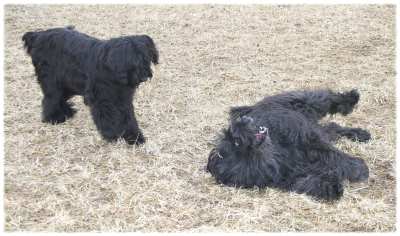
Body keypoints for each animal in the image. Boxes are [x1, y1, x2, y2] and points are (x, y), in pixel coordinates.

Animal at [22, 25, 158, 144]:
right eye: (133, 63)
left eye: (146, 59)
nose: (144, 76)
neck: (111, 69)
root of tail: (38, 35)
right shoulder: (102, 100)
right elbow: (109, 118)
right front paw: (112, 135)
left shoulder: (122, 99)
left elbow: (128, 117)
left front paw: (134, 137)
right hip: (53, 82)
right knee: (51, 98)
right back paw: (54, 117)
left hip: (67, 84)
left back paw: (66, 112)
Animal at [208, 88, 370, 201]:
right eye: (236, 143)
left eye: (231, 135)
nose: (241, 120)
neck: (276, 155)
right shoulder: (289, 177)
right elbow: (308, 181)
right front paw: (331, 186)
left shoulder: (305, 136)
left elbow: (331, 154)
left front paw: (358, 167)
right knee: (332, 127)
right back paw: (359, 133)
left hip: (299, 102)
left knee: (325, 99)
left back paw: (350, 99)